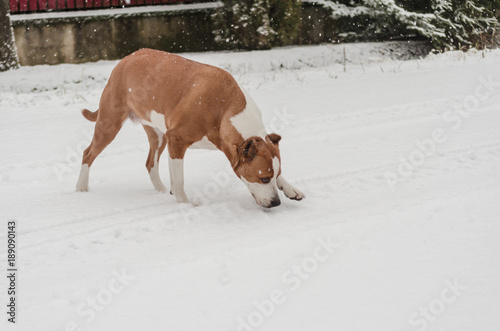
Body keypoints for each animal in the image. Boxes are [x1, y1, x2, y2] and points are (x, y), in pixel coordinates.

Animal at [75, 48, 302, 209]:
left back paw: (160, 190)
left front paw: (290, 188)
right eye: (263, 178)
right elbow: (179, 179)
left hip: (158, 134)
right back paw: (81, 188)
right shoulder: (177, 140)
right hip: (109, 123)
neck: (225, 109)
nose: (276, 203)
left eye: (275, 175)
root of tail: (126, 59)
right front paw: (184, 203)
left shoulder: (171, 140)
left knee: (150, 163)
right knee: (88, 153)